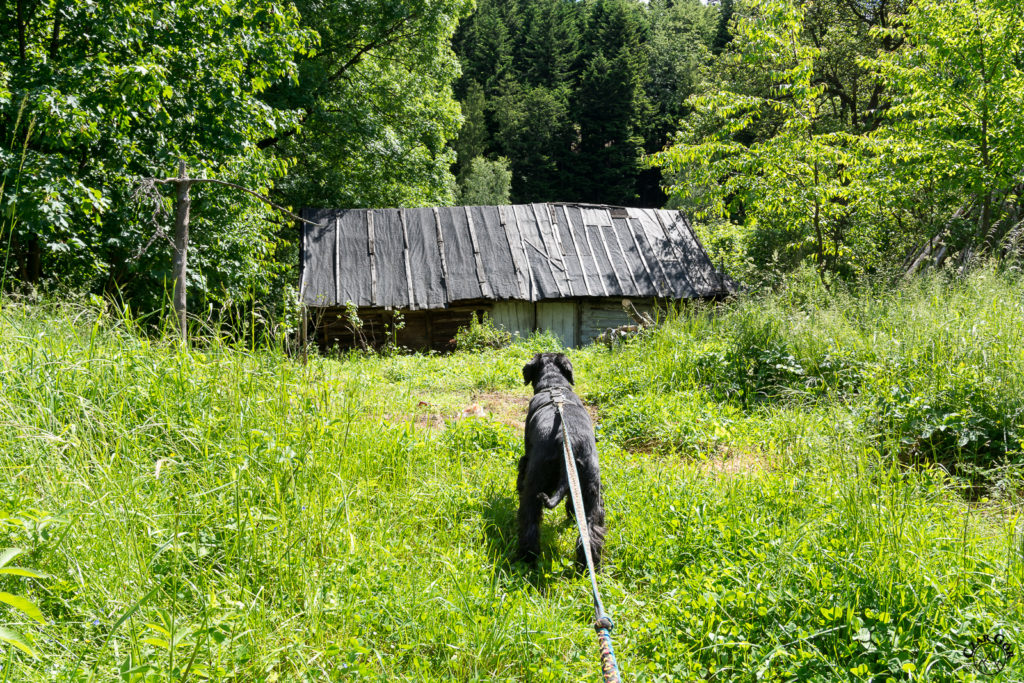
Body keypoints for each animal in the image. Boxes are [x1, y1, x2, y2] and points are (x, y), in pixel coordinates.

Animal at [516, 352, 602, 573]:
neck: (554, 386)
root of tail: (566, 441)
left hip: (534, 484)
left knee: (530, 523)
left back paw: (527, 558)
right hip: (591, 490)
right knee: (591, 532)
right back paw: (588, 566)